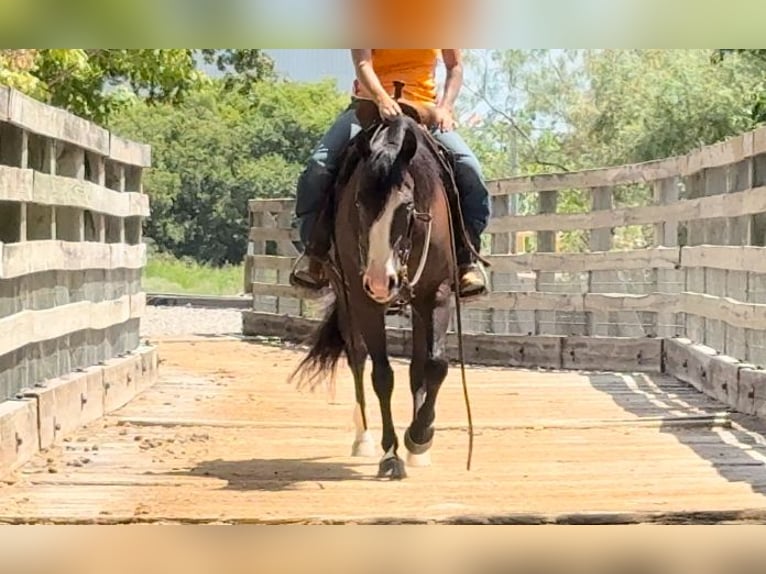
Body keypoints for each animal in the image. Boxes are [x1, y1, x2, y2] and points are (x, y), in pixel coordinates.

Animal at [292, 99, 476, 482]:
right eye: (358, 203)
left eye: (405, 207)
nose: (380, 281)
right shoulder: (363, 301)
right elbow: (382, 375)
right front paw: (390, 454)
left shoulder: (437, 293)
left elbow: (435, 365)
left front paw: (419, 437)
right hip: (347, 297)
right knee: (358, 360)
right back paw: (363, 438)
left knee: (417, 365)